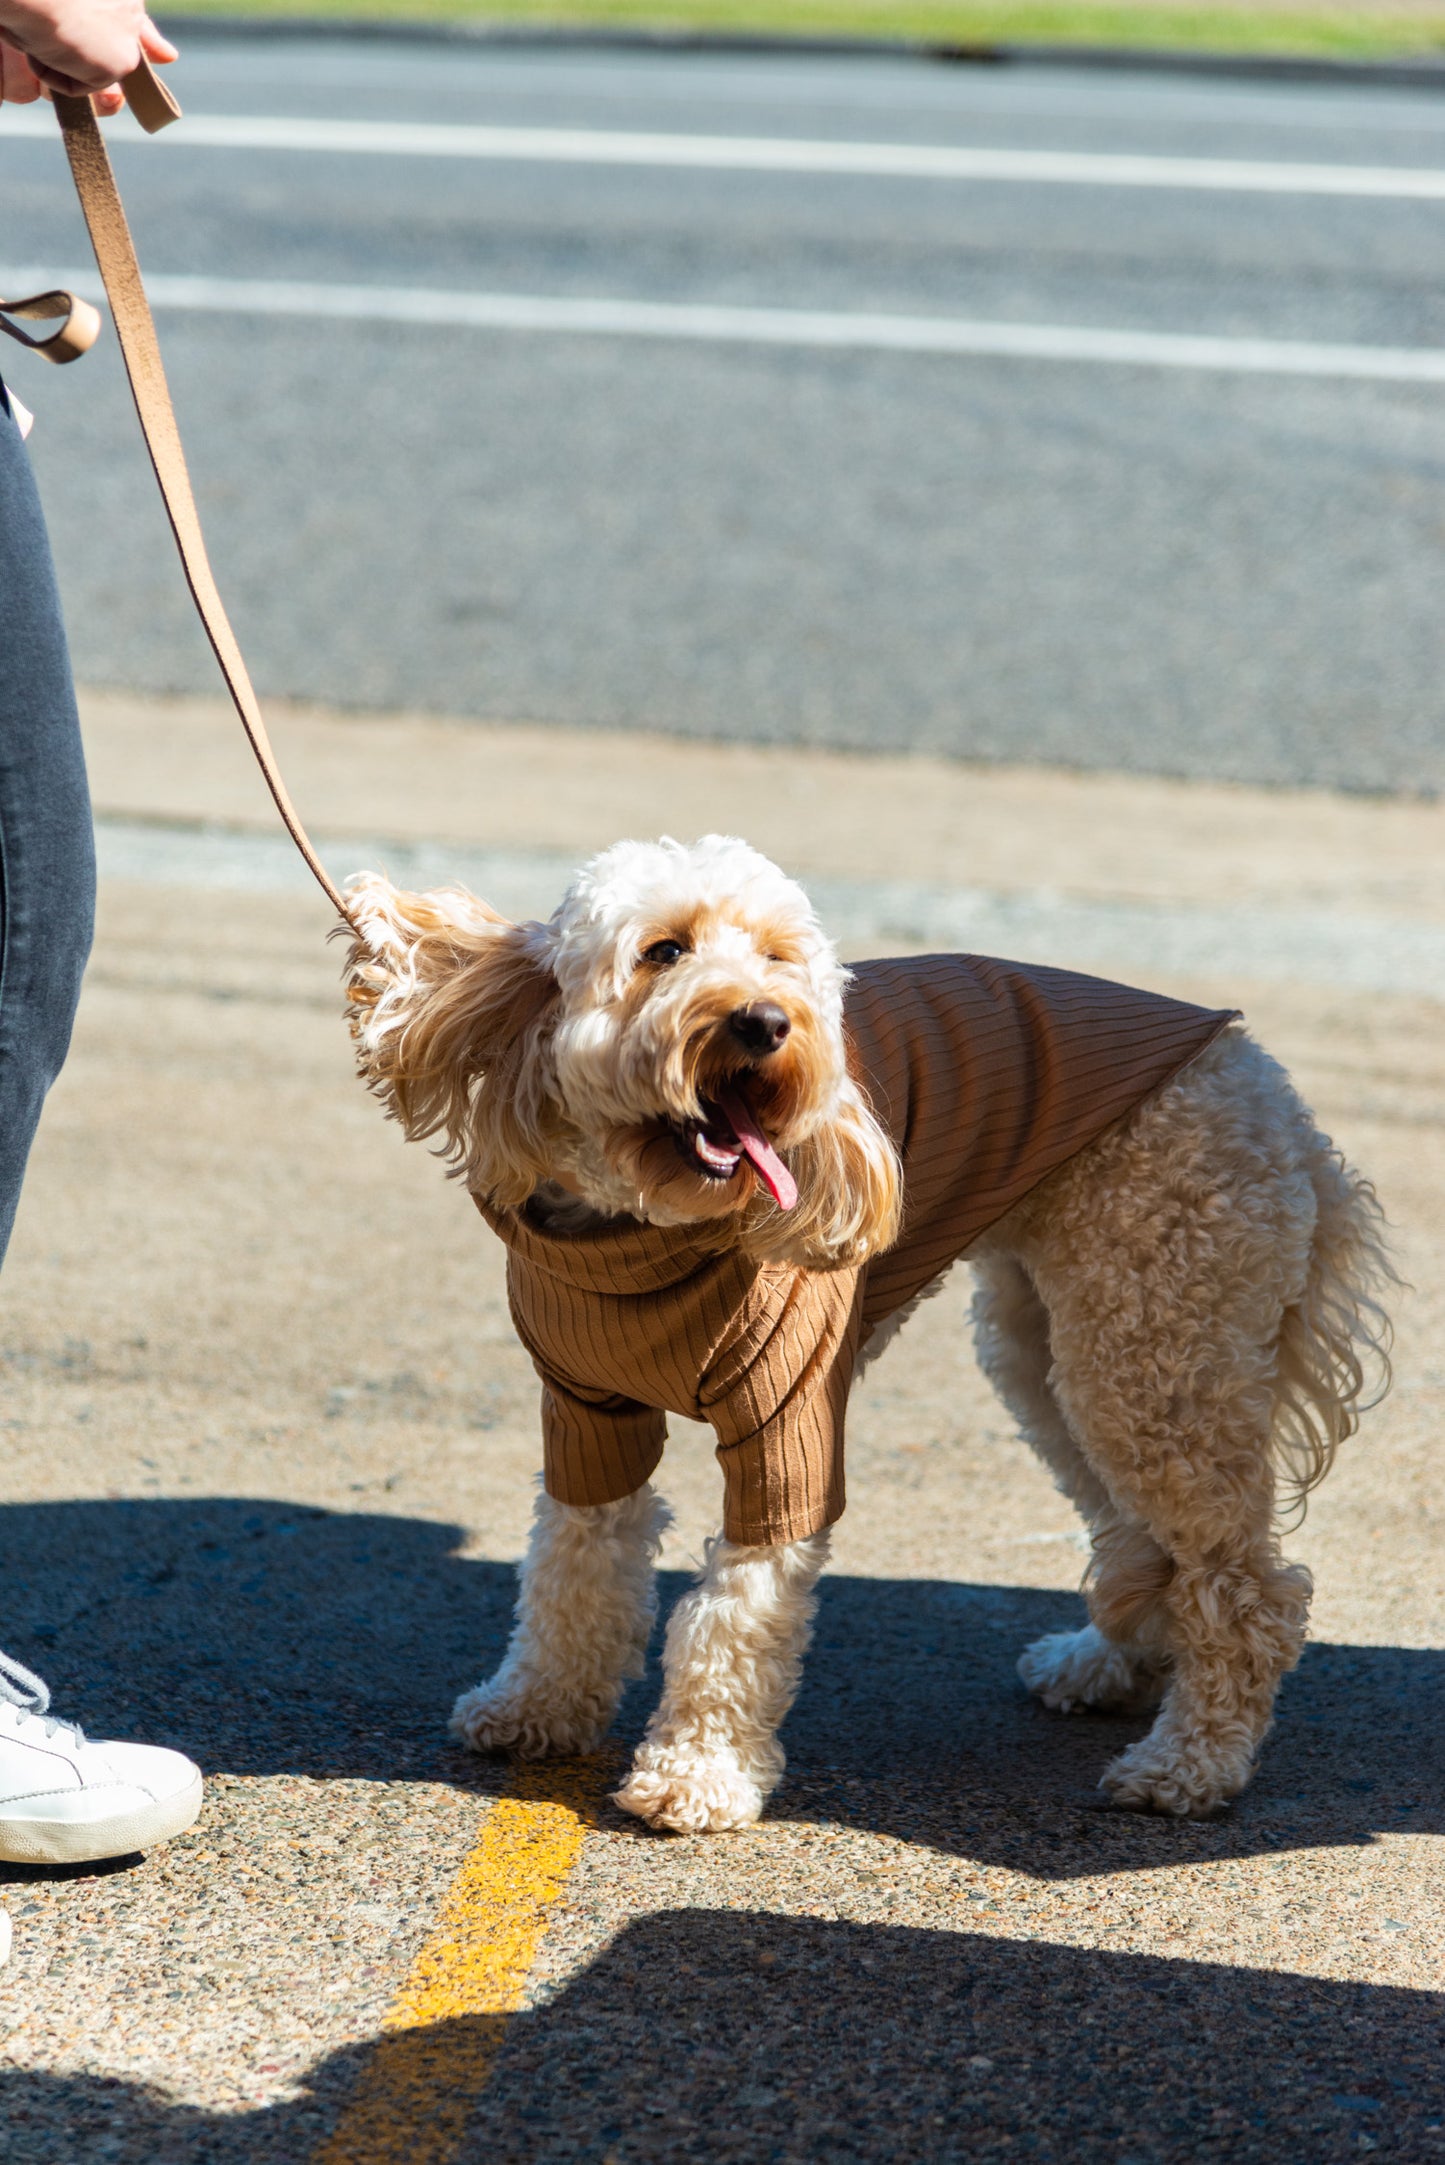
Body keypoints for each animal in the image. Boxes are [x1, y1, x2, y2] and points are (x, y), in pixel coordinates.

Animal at [340, 827, 1386, 1827]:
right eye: (663, 950)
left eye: (777, 957)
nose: (764, 1020)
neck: (650, 1226)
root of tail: (1266, 1084)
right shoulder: (586, 1417)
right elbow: (572, 1570)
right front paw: (538, 1707)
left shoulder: (789, 1422)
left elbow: (738, 1610)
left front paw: (699, 1774)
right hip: (1052, 1351)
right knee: (1145, 1540)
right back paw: (1106, 1669)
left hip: (1151, 1347)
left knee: (1245, 1587)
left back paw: (1189, 1763)